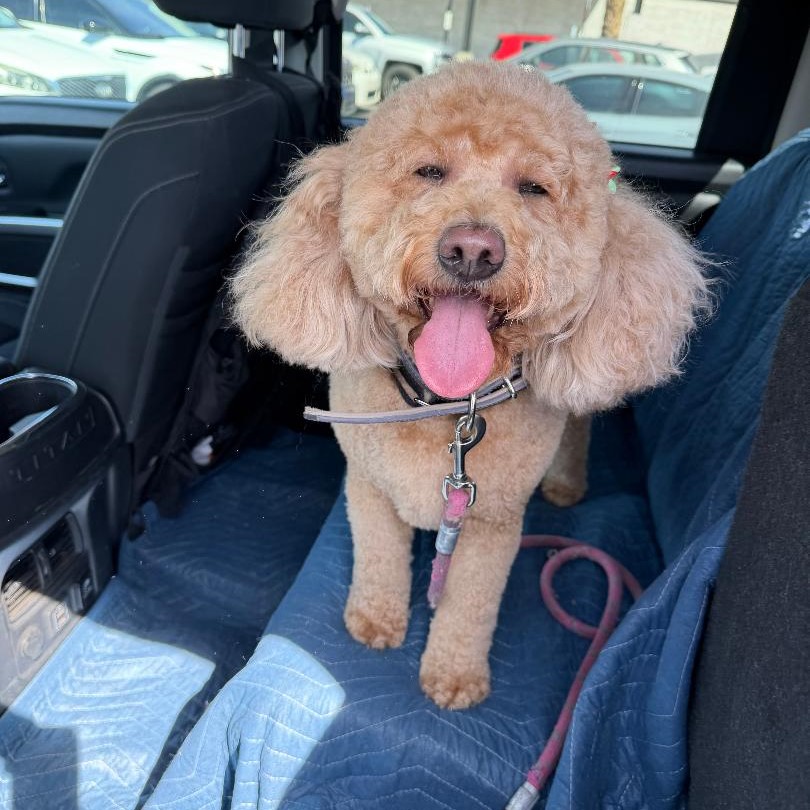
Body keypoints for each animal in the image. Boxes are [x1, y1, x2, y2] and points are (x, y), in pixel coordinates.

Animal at [230, 61, 707, 709]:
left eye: (533, 188)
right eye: (429, 172)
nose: (473, 250)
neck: (445, 404)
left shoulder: (492, 525)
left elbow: (469, 605)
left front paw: (455, 675)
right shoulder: (368, 489)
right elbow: (379, 558)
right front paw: (375, 619)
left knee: (579, 425)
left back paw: (567, 483)